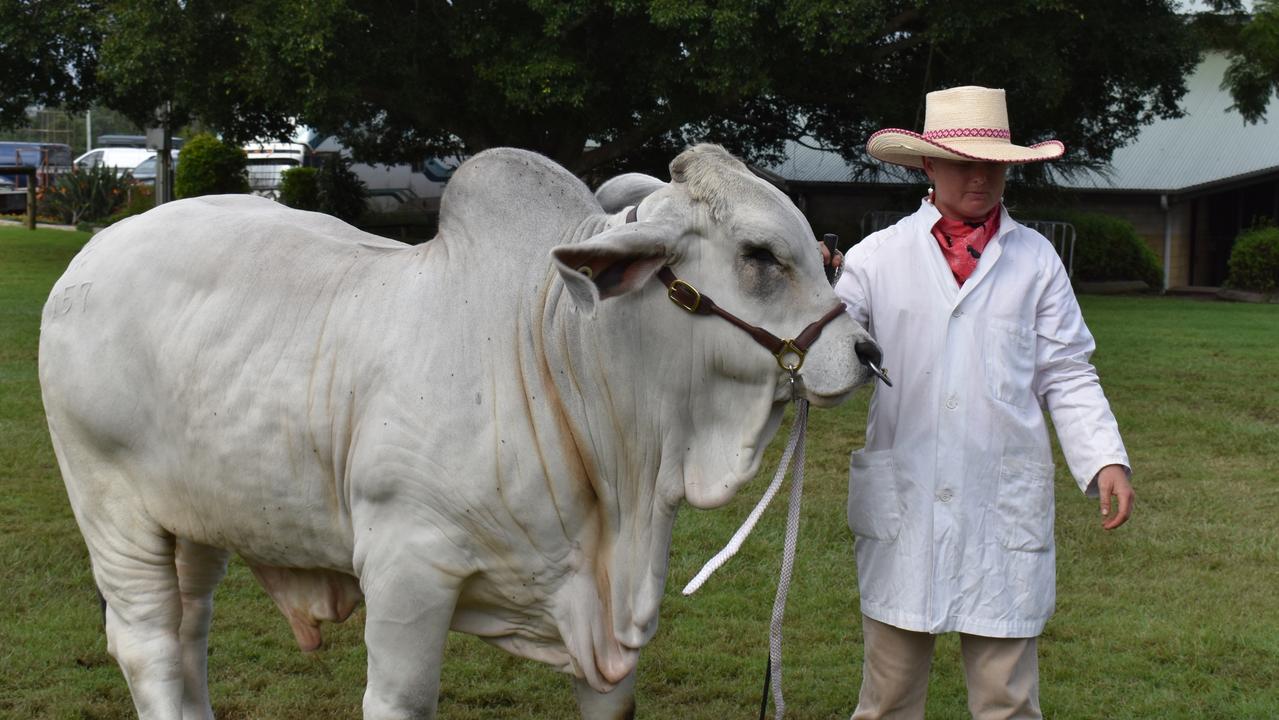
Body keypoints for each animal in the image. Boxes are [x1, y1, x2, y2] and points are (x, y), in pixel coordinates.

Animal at [42, 143, 879, 716]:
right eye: (759, 255)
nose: (865, 353)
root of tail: (94, 251)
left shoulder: (611, 629)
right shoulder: (407, 570)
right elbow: (400, 699)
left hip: (193, 518)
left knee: (190, 634)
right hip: (109, 505)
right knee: (148, 644)